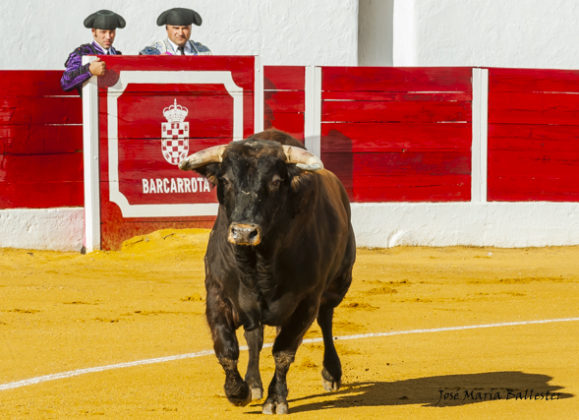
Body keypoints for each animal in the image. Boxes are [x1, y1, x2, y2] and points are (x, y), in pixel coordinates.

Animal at [179, 129, 356, 414]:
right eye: (225, 180)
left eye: (275, 182)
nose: (243, 232)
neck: (257, 265)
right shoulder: (217, 294)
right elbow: (226, 348)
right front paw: (237, 391)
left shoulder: (307, 301)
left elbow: (284, 351)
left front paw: (275, 399)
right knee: (255, 339)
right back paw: (252, 383)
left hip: (337, 285)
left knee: (326, 320)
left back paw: (331, 373)